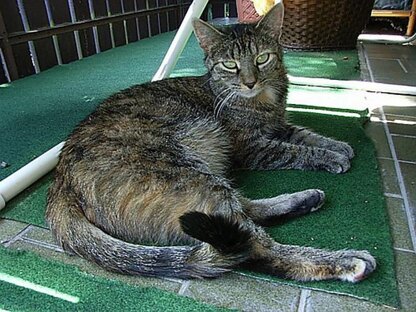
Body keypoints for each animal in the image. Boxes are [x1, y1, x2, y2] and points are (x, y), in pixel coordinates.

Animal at [47, 3, 376, 282]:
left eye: (262, 58)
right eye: (230, 65)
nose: (250, 82)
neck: (263, 100)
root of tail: (61, 183)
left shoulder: (278, 125)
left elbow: (304, 134)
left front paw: (337, 145)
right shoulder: (252, 147)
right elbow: (294, 151)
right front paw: (330, 157)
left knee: (245, 212)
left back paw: (305, 199)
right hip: (192, 176)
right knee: (256, 246)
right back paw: (345, 260)